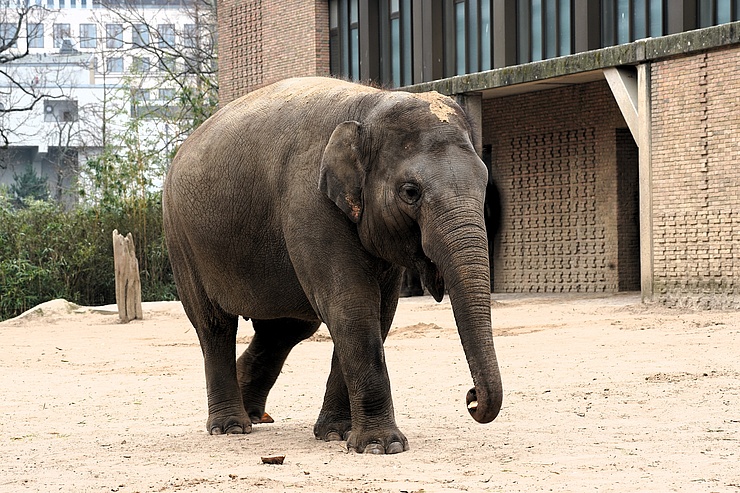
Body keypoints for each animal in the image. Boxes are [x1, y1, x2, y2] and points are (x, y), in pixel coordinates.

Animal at [162, 77, 503, 454]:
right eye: (410, 191)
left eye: (484, 182)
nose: (471, 398)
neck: (370, 106)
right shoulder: (309, 201)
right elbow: (351, 304)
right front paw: (381, 446)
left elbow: (378, 311)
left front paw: (337, 434)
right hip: (181, 238)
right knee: (214, 325)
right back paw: (231, 427)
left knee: (285, 330)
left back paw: (252, 413)